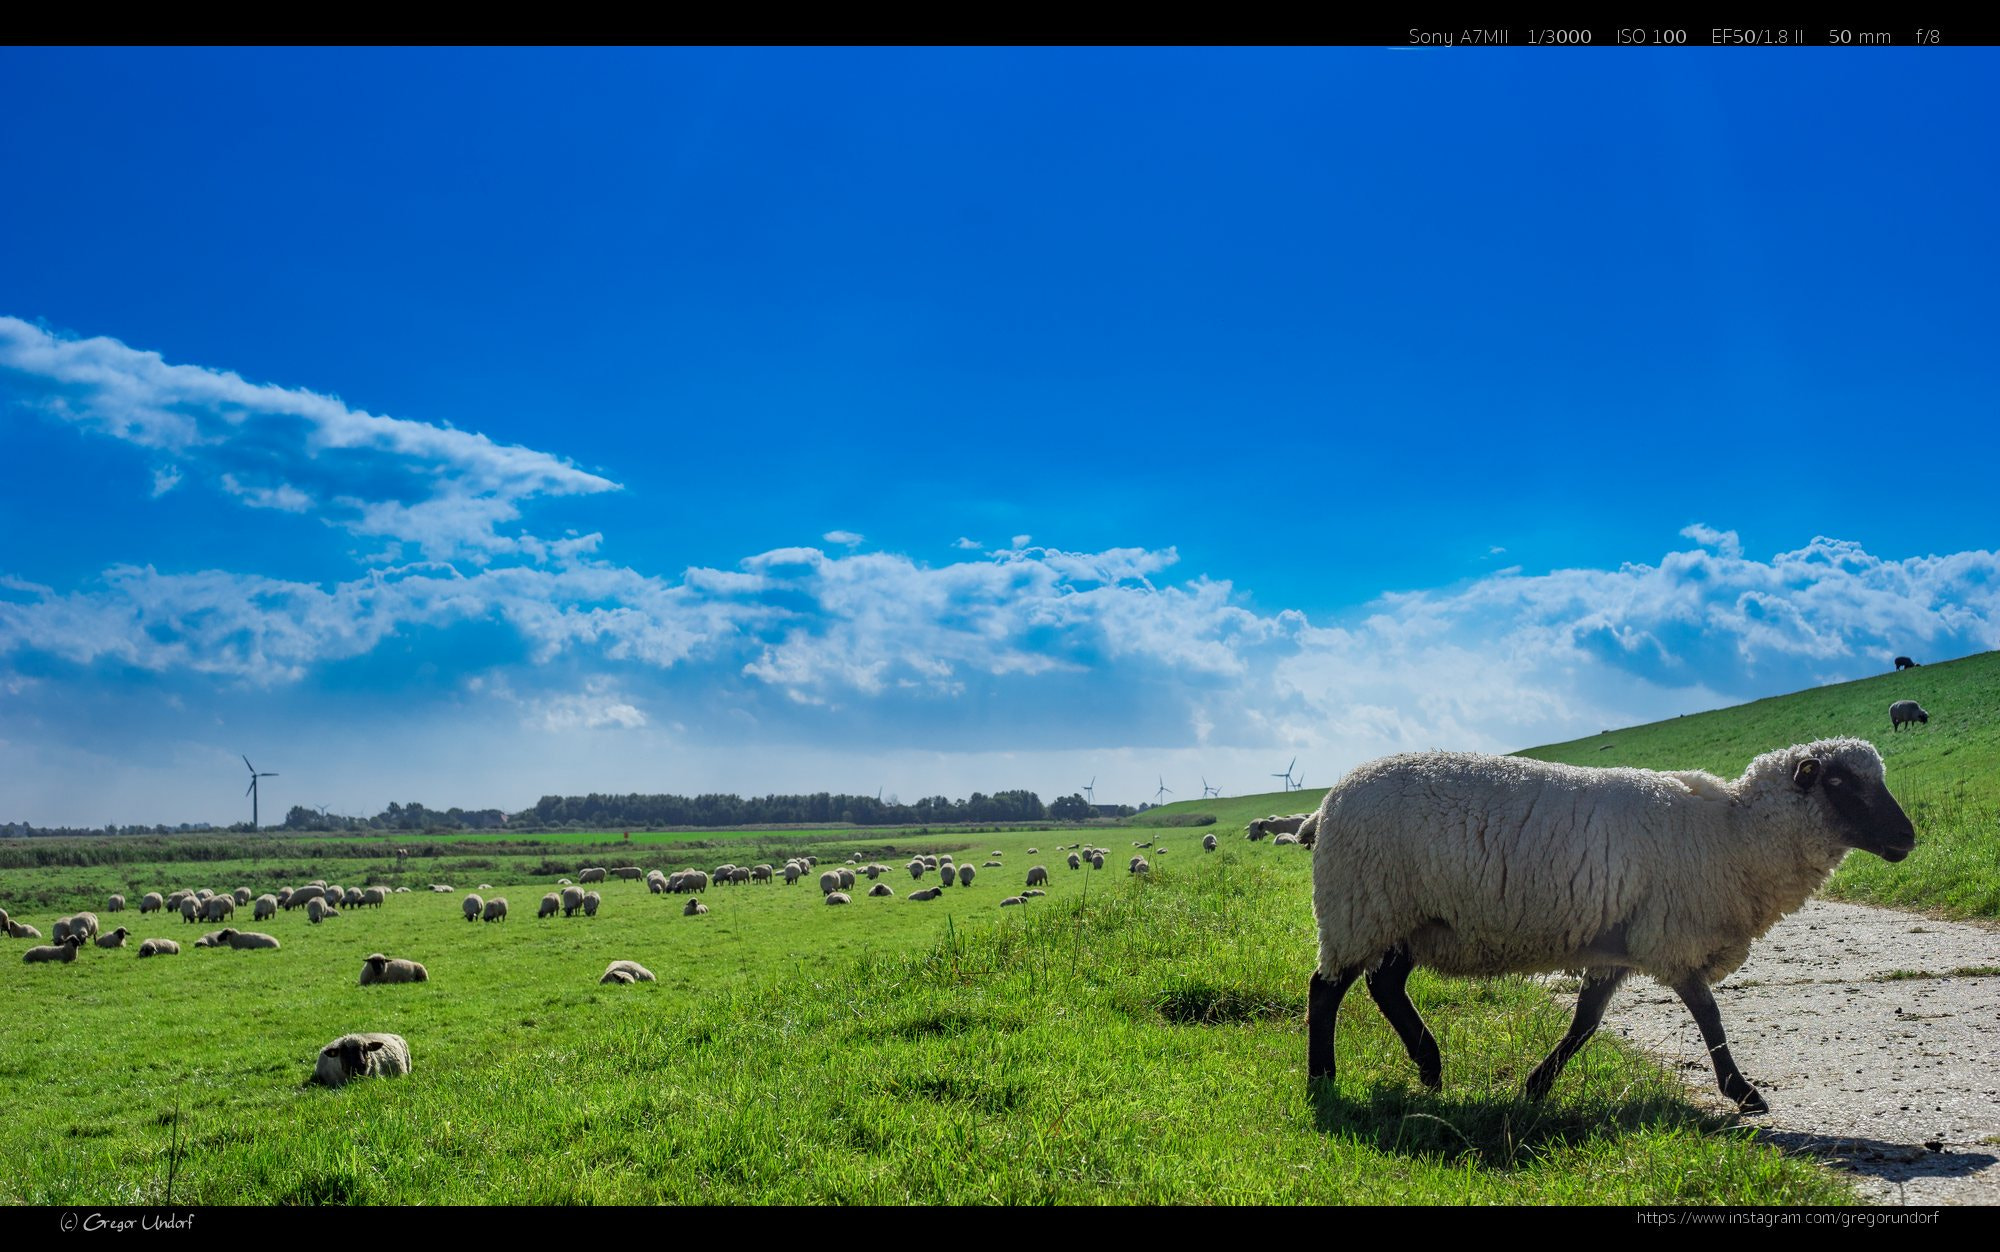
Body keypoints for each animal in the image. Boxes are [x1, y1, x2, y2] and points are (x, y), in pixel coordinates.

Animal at [1304, 736, 1912, 1104]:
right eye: (1840, 784)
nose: (1907, 838)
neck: (1733, 835)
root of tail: (1328, 803)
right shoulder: (1671, 936)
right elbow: (1709, 1016)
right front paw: (1742, 1092)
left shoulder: (1618, 945)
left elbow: (1585, 1022)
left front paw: (1536, 1086)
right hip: (1360, 906)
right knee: (1326, 988)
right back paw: (1322, 1079)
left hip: (1406, 918)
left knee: (1385, 985)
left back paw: (1429, 1067)